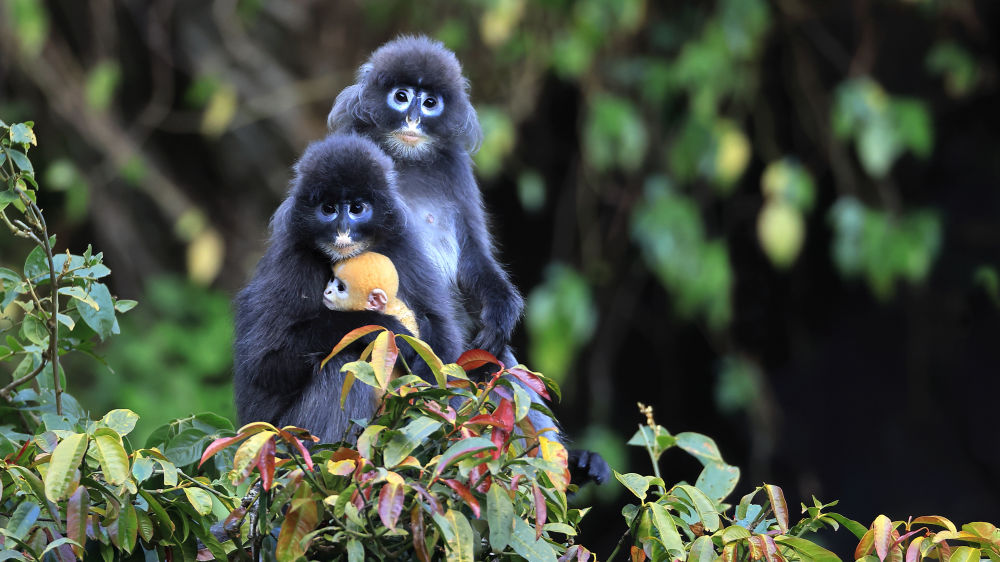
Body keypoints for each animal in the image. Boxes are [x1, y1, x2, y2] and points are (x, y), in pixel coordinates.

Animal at [233, 133, 464, 442]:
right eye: (328, 209)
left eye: (356, 208)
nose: (342, 231)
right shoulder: (293, 259)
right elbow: (264, 362)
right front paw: (384, 327)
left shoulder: (403, 244)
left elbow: (442, 331)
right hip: (281, 433)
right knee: (341, 361)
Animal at [327, 36, 609, 485]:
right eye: (401, 96)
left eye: (429, 103)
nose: (412, 118)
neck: (406, 159)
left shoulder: (455, 167)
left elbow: (473, 254)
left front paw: (503, 309)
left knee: (504, 365)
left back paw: (569, 466)